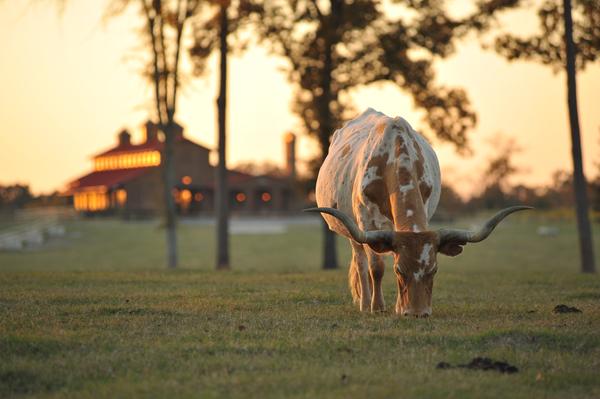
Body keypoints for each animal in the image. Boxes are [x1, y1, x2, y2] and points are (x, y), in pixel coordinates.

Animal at [308, 108, 528, 318]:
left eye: (434, 269)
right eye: (399, 270)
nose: (418, 313)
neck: (393, 159)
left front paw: (398, 307)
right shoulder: (366, 222)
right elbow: (376, 267)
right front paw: (377, 307)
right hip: (353, 233)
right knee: (361, 262)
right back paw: (365, 303)